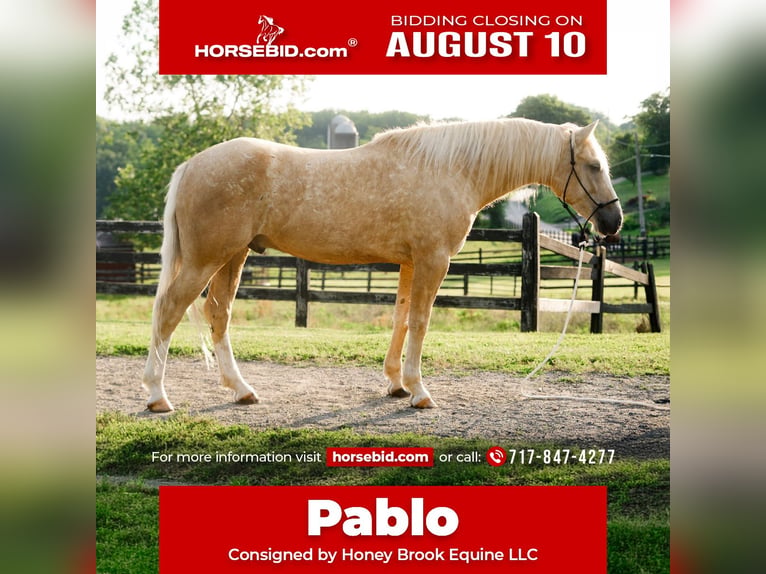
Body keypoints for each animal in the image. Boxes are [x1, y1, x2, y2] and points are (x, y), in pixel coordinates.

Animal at [142, 118, 622, 412]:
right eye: (593, 165)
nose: (613, 223)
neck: (453, 169)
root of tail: (191, 165)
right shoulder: (433, 260)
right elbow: (421, 322)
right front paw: (420, 392)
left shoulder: (411, 263)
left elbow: (401, 318)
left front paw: (396, 384)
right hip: (207, 259)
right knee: (169, 311)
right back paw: (157, 396)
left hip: (234, 256)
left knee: (217, 313)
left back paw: (241, 390)